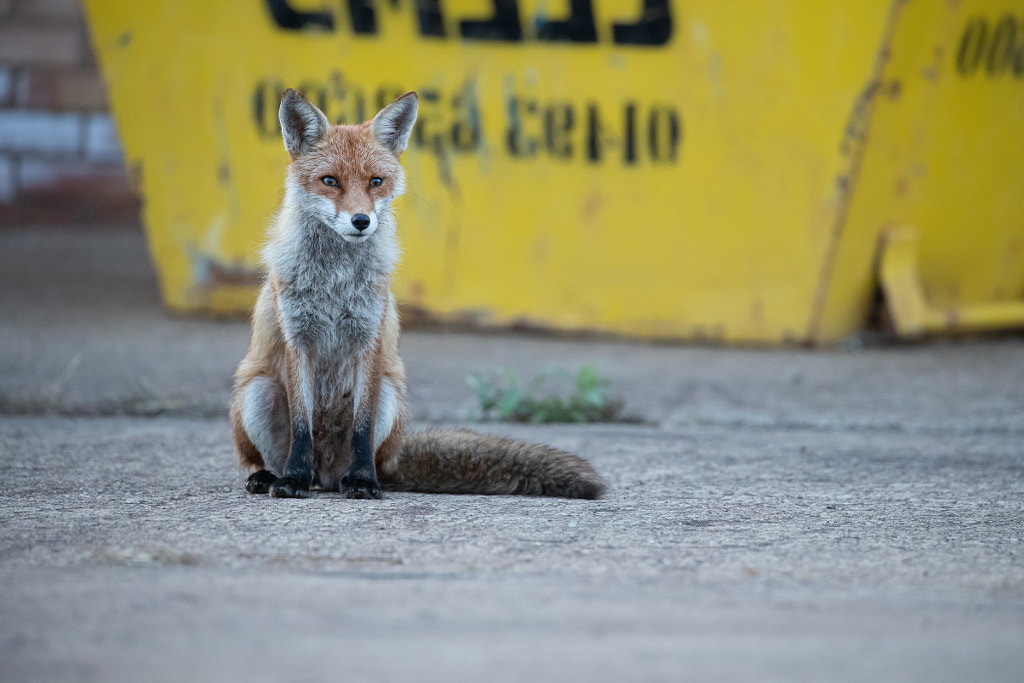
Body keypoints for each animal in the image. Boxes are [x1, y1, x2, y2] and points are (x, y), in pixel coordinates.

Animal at [228, 88, 602, 499]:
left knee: (366, 457)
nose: (362, 221)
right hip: (257, 391)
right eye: (330, 180)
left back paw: (357, 477)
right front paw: (293, 479)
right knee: (262, 457)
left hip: (391, 396)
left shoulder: (370, 338)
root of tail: (324, 475)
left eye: (376, 181)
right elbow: (301, 426)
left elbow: (362, 428)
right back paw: (272, 476)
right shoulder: (298, 339)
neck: (335, 281)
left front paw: (362, 482)